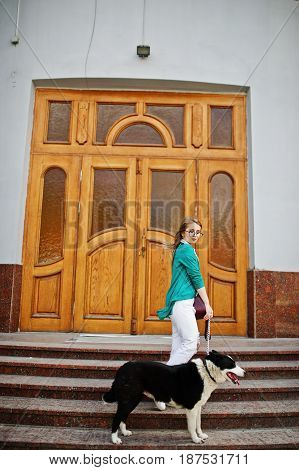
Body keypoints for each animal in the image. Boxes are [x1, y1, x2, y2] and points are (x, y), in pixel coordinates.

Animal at [103, 350, 246, 446]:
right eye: (232, 364)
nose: (245, 372)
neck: (207, 372)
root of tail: (122, 368)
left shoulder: (198, 406)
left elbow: (198, 424)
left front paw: (201, 435)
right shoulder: (191, 408)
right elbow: (192, 426)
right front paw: (196, 439)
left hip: (133, 399)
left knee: (123, 416)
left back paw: (124, 432)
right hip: (130, 398)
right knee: (117, 417)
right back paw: (115, 439)